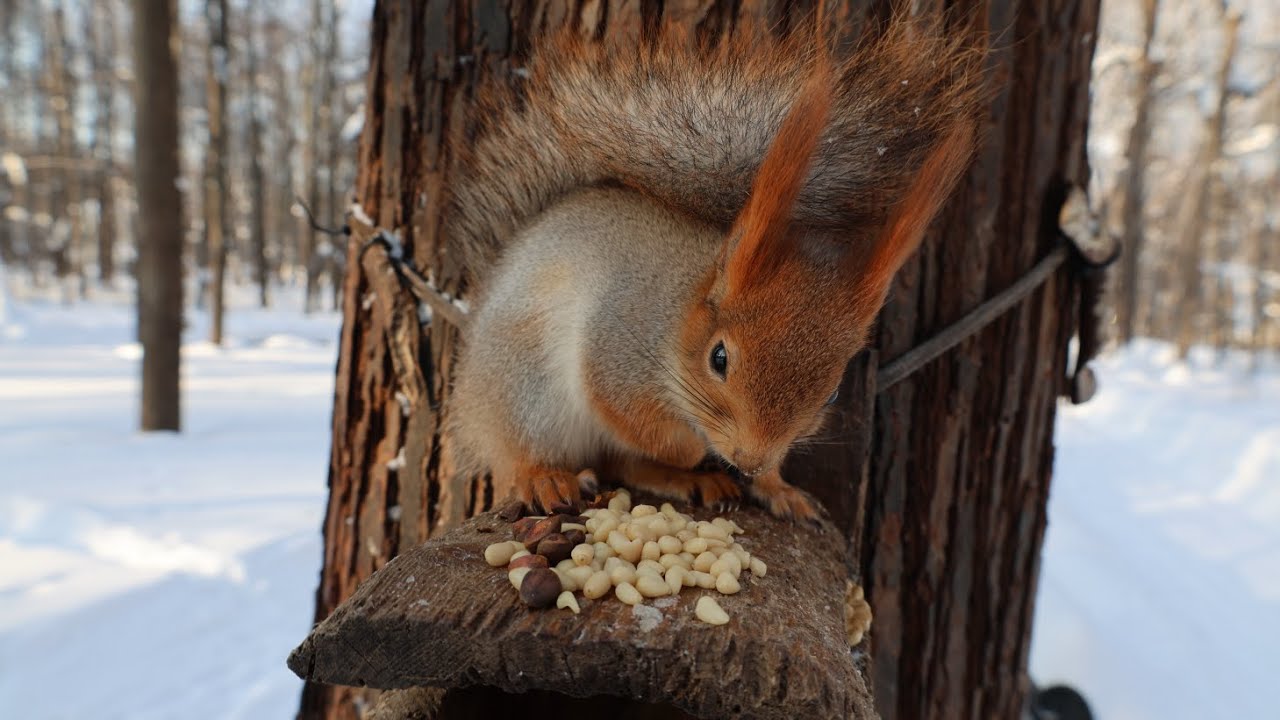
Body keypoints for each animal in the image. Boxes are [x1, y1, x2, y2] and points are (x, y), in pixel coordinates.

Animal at [444, 19, 984, 520]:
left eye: (831, 393)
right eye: (719, 358)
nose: (748, 460)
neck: (679, 309)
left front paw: (775, 485)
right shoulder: (616, 351)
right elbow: (635, 418)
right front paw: (698, 453)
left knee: (623, 464)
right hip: (523, 386)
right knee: (520, 450)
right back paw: (545, 476)